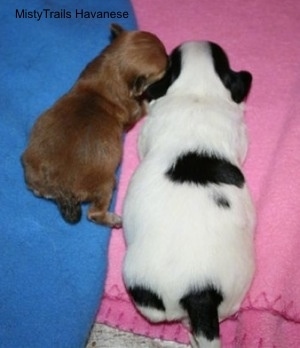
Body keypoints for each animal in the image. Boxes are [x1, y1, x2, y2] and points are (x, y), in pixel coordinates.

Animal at [22, 23, 168, 227]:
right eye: (165, 70)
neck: (113, 67)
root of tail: (59, 187)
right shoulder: (132, 111)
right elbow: (141, 108)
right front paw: (148, 102)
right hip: (107, 183)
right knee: (94, 213)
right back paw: (113, 219)